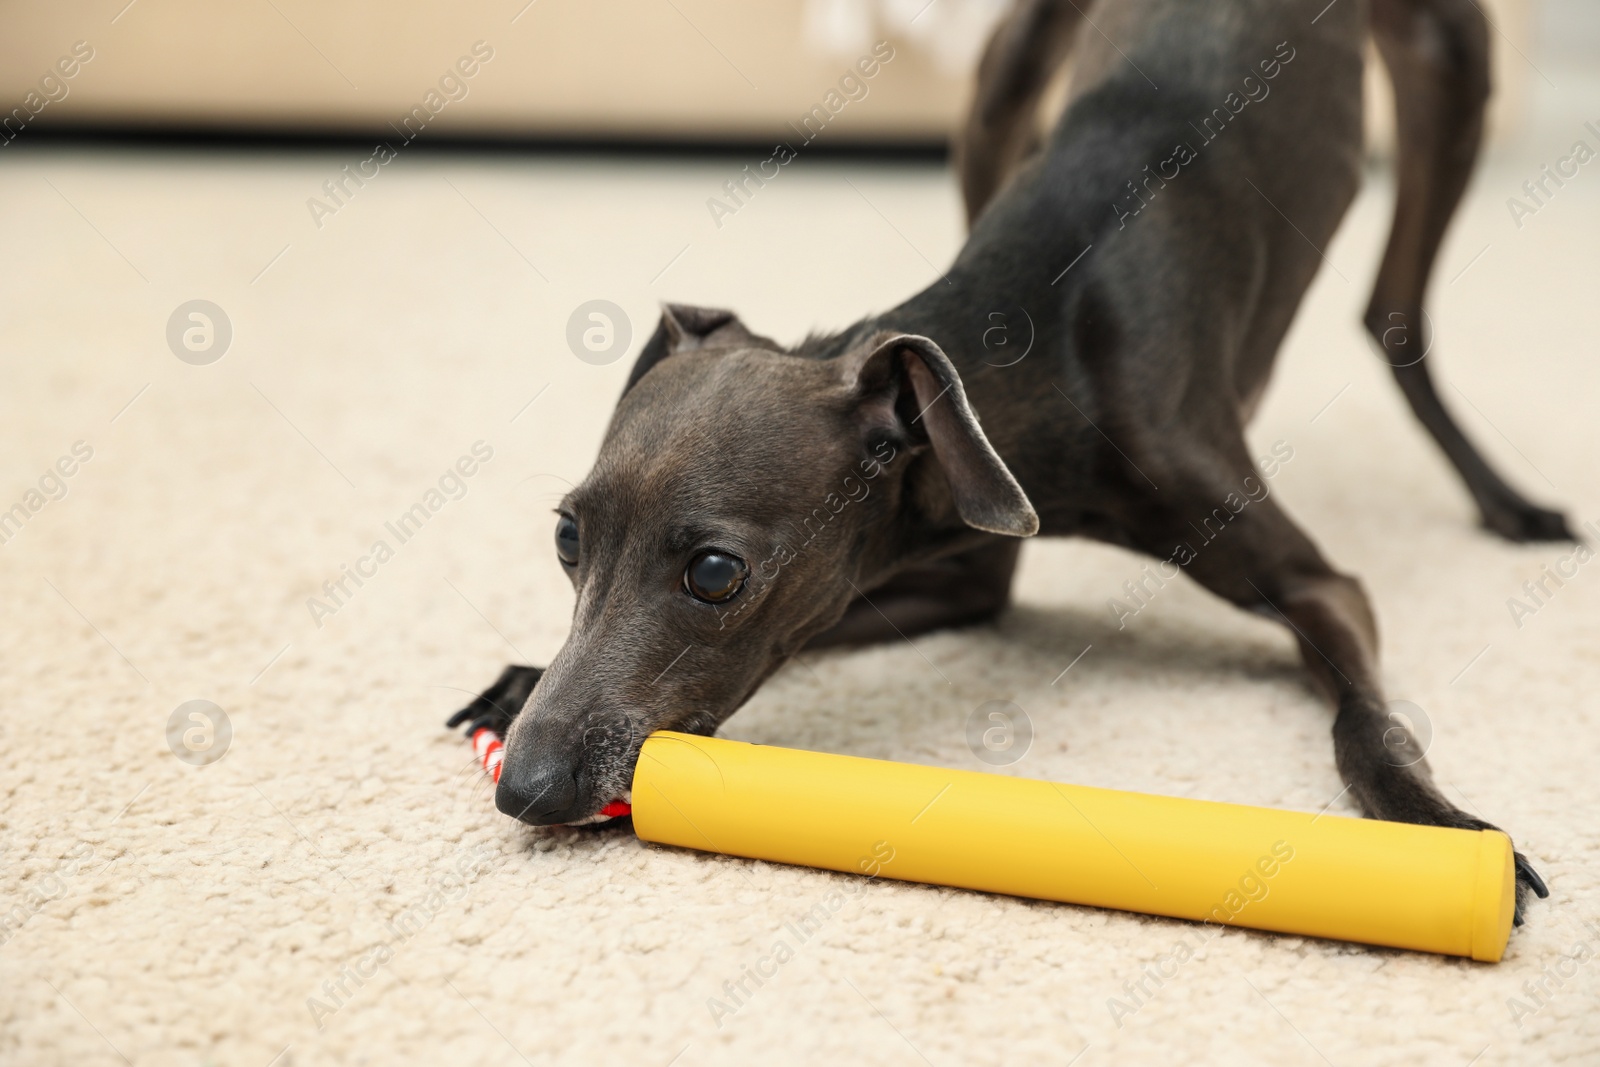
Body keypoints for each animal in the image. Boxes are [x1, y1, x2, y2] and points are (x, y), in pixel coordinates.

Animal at [451, 0, 1561, 921]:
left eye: (716, 573)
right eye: (568, 536)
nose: (526, 786)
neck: (1059, 344)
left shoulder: (1316, 583)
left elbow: (1364, 721)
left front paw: (1443, 824)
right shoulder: (957, 564)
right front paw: (521, 674)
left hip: (1448, 58)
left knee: (1396, 314)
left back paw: (1510, 502)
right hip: (1008, 67)